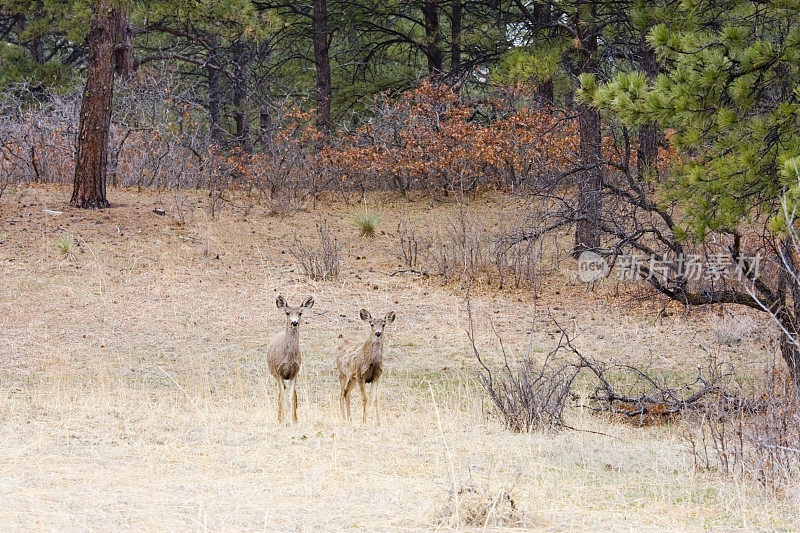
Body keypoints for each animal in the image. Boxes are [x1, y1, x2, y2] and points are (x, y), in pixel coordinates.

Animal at [262, 294, 312, 422]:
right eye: (287, 313)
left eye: (300, 313)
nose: (294, 322)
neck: (288, 358)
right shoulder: (278, 372)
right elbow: (283, 396)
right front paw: (283, 420)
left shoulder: (295, 372)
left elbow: (292, 396)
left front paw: (294, 420)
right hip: (273, 372)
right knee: (281, 392)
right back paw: (279, 417)